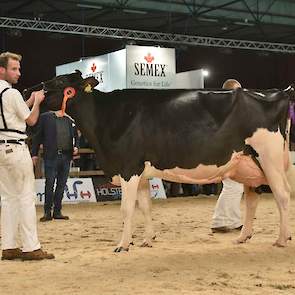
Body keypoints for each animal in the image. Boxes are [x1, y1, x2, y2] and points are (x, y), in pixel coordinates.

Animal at [24, 71, 295, 252]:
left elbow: (126, 208)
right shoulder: (141, 173)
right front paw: (147, 239)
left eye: (60, 82)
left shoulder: (128, 168)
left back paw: (281, 239)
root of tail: (277, 92)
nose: (28, 91)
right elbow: (145, 206)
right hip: (248, 164)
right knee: (252, 199)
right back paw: (243, 237)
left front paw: (123, 245)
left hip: (268, 157)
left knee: (282, 196)